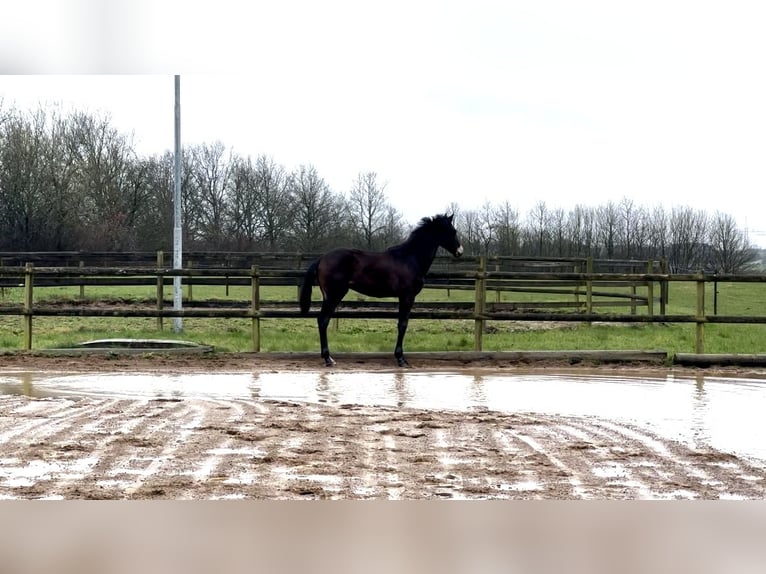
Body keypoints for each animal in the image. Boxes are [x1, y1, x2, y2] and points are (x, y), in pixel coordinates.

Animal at [302, 216, 468, 368]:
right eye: (453, 231)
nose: (460, 251)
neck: (410, 258)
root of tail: (321, 259)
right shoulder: (407, 297)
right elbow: (402, 324)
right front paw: (401, 359)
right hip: (333, 295)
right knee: (323, 320)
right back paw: (328, 359)